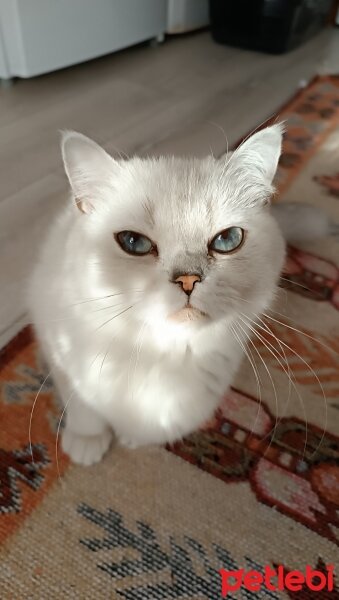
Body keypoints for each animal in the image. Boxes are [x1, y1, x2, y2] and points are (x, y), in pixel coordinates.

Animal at [27, 124, 286, 466]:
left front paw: (134, 439)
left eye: (227, 240)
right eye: (133, 242)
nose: (188, 279)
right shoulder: (59, 347)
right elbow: (84, 407)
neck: (158, 352)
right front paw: (87, 444)